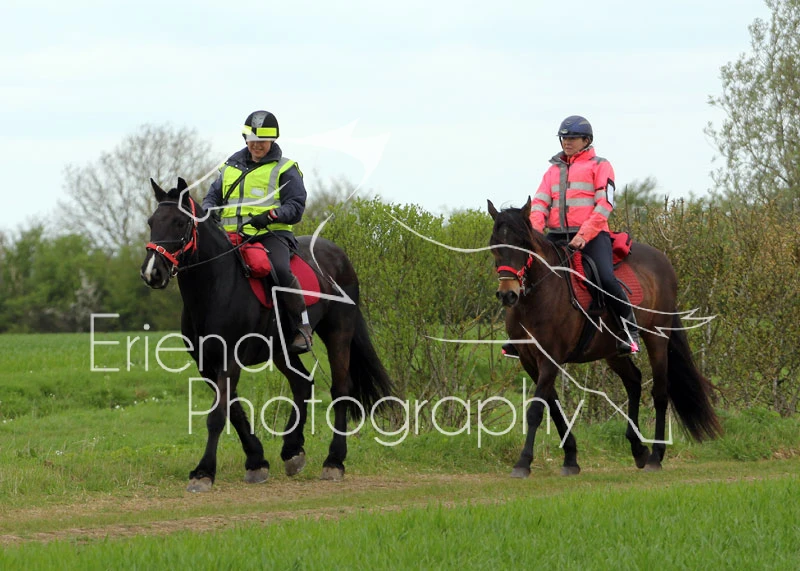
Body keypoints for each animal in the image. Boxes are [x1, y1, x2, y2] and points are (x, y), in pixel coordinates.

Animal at [141, 177, 393, 491]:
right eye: (151, 222)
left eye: (179, 222)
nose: (152, 273)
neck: (215, 288)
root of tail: (339, 256)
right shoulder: (206, 365)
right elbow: (234, 411)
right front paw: (256, 461)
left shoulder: (229, 360)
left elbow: (217, 415)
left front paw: (204, 472)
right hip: (282, 349)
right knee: (302, 384)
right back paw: (292, 450)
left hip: (339, 334)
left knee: (340, 390)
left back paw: (334, 461)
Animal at [487, 197, 720, 477]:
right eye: (493, 244)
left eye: (523, 243)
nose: (507, 294)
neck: (536, 297)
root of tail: (662, 260)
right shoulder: (529, 360)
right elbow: (553, 406)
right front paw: (570, 458)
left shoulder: (550, 358)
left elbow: (536, 410)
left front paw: (523, 463)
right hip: (612, 351)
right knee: (633, 381)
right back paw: (638, 450)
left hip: (657, 338)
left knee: (660, 393)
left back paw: (655, 456)